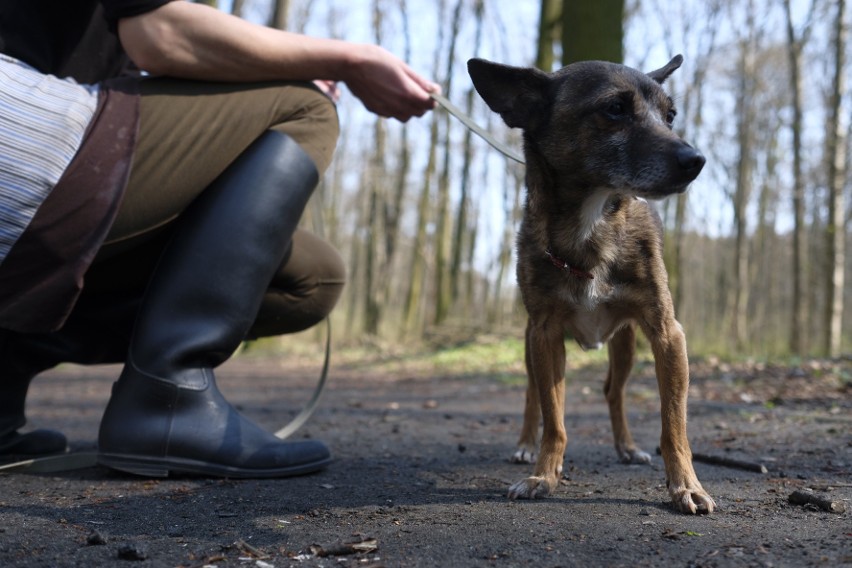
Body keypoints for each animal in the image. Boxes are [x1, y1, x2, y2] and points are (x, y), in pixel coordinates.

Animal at [470, 54, 716, 516]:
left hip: (626, 345)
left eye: (670, 115)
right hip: (530, 343)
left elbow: (674, 425)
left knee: (612, 391)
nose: (695, 160)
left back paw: (626, 447)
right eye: (615, 109)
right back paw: (525, 444)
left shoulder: (667, 334)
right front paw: (543, 475)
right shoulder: (545, 334)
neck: (593, 226)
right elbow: (554, 418)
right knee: (532, 394)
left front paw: (686, 486)